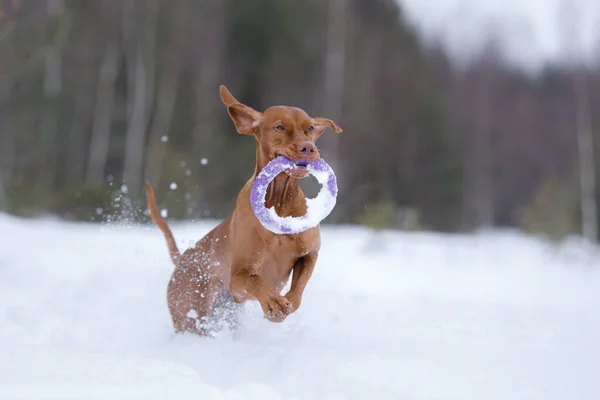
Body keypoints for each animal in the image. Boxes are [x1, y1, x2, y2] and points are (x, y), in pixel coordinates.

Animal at [146, 86, 342, 336]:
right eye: (280, 127)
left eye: (309, 128)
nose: (308, 147)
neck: (279, 202)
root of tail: (183, 260)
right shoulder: (238, 278)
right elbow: (255, 280)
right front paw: (274, 303)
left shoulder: (309, 254)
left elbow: (298, 288)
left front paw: (285, 304)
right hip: (192, 315)